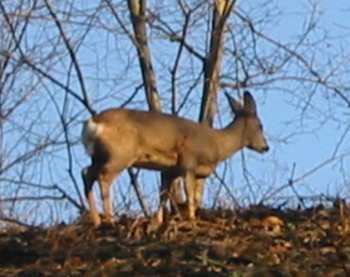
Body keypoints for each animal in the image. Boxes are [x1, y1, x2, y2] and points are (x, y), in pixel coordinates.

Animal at [81, 91, 268, 225]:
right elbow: (190, 194)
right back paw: (110, 218)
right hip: (120, 155)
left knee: (86, 173)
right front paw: (191, 218)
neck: (217, 143)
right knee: (103, 178)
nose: (266, 147)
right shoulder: (188, 162)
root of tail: (92, 124)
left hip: (99, 157)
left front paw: (158, 220)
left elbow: (163, 195)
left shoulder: (170, 170)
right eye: (260, 125)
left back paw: (96, 220)